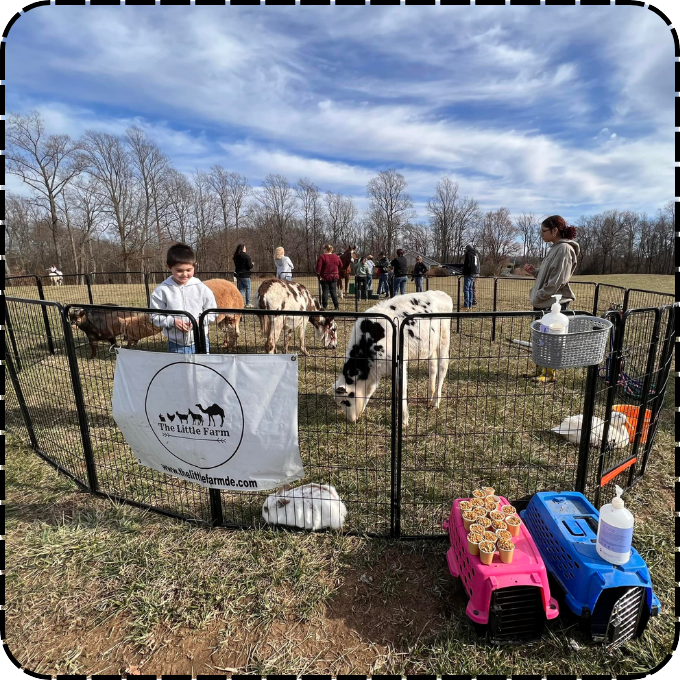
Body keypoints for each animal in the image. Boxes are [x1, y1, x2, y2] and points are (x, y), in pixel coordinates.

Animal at [334, 290, 452, 424]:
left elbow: (401, 389)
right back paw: (430, 395)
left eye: (345, 402)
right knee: (432, 368)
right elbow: (370, 390)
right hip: (430, 347)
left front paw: (404, 420)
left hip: (443, 341)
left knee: (442, 368)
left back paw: (436, 401)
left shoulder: (398, 362)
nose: (350, 420)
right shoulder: (375, 369)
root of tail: (440, 293)